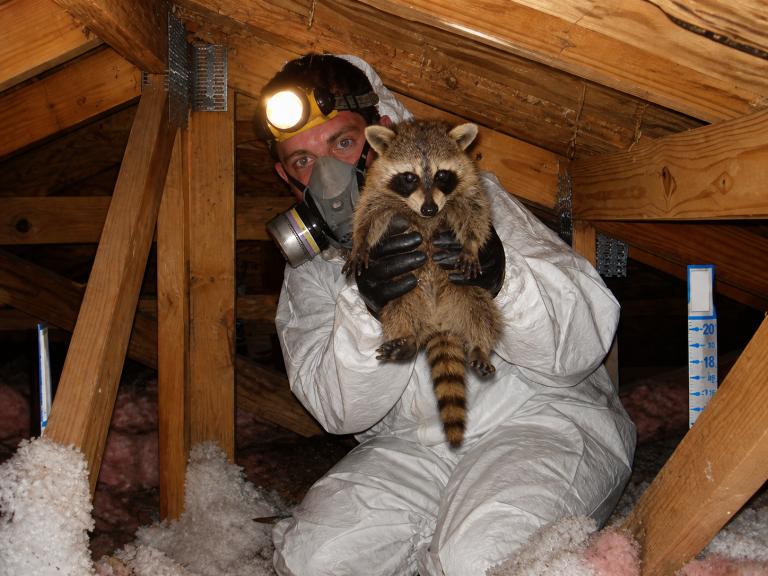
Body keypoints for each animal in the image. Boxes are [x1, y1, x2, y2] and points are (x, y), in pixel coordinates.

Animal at [342, 120, 501, 447]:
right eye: (408, 177)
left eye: (441, 175)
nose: (429, 210)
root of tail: (439, 322)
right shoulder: (376, 192)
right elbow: (366, 217)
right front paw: (360, 244)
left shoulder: (469, 186)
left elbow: (476, 215)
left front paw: (472, 245)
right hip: (406, 290)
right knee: (397, 307)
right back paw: (407, 339)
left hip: (463, 290)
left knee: (481, 307)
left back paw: (480, 345)